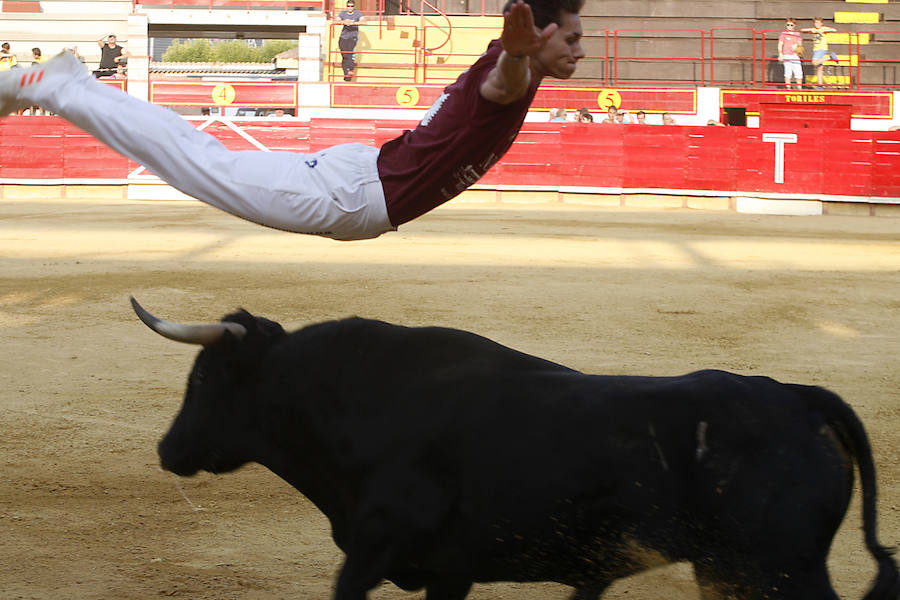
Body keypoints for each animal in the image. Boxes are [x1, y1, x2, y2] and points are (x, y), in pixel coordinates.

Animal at [130, 300, 896, 600]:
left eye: (204, 378)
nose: (168, 448)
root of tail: (799, 397)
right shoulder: (448, 571)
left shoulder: (371, 553)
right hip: (736, 571)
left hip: (777, 569)